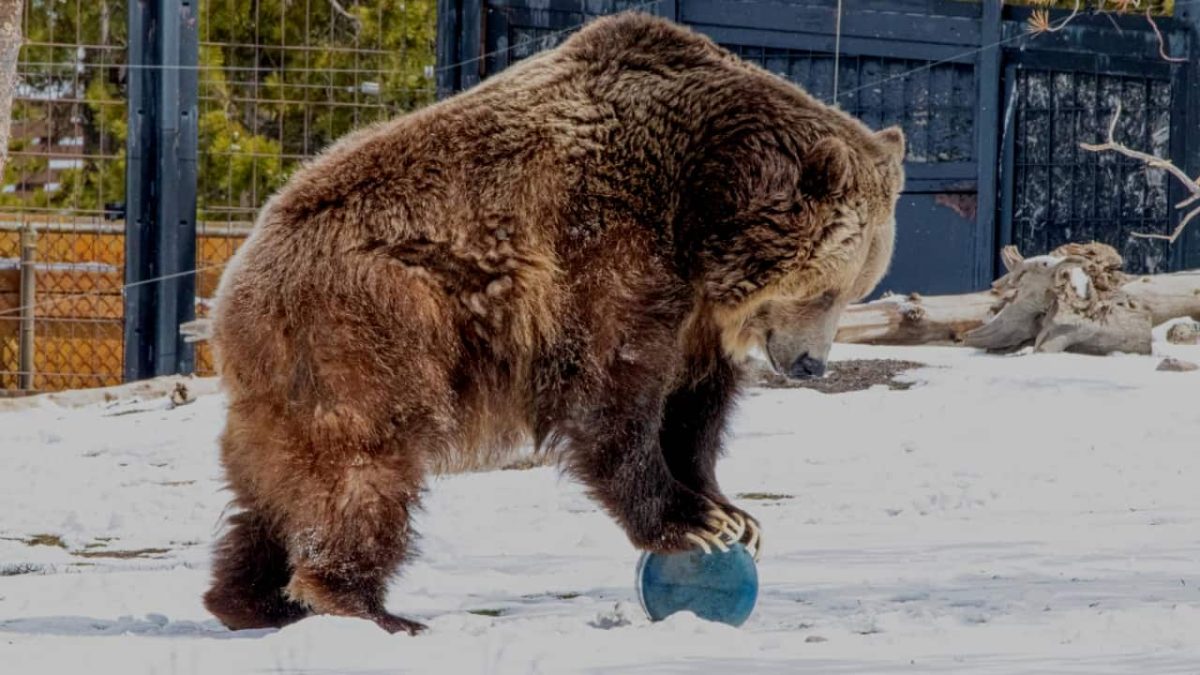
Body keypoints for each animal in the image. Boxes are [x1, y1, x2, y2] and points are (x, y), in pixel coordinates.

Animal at [202, 11, 905, 635]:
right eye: (828, 290)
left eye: (858, 288)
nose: (812, 364)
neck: (699, 205)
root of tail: (236, 272)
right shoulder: (601, 246)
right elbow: (610, 390)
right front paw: (689, 521)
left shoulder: (694, 312)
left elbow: (694, 408)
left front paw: (731, 512)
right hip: (369, 322)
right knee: (363, 465)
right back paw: (366, 607)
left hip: (294, 372)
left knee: (273, 486)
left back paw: (251, 599)